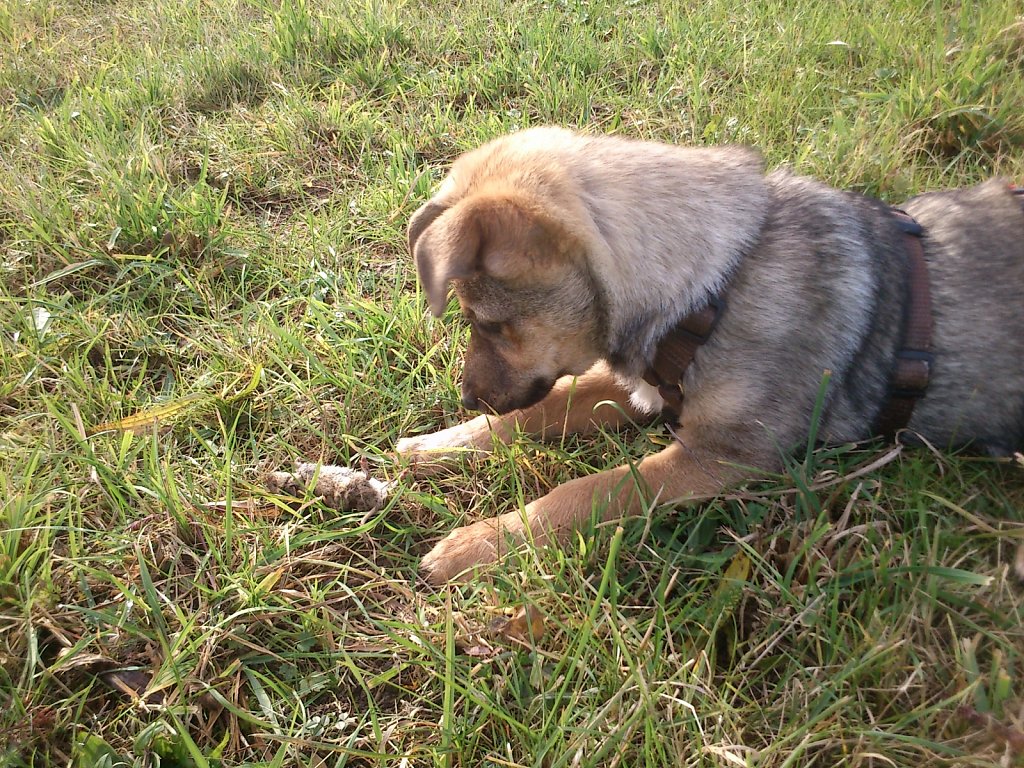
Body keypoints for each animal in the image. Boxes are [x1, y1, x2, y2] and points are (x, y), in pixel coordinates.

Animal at [393, 128, 1024, 581]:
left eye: (489, 324)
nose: (467, 398)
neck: (713, 290)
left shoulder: (722, 456)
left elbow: (589, 490)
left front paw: (476, 545)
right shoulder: (635, 389)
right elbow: (534, 414)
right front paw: (435, 447)